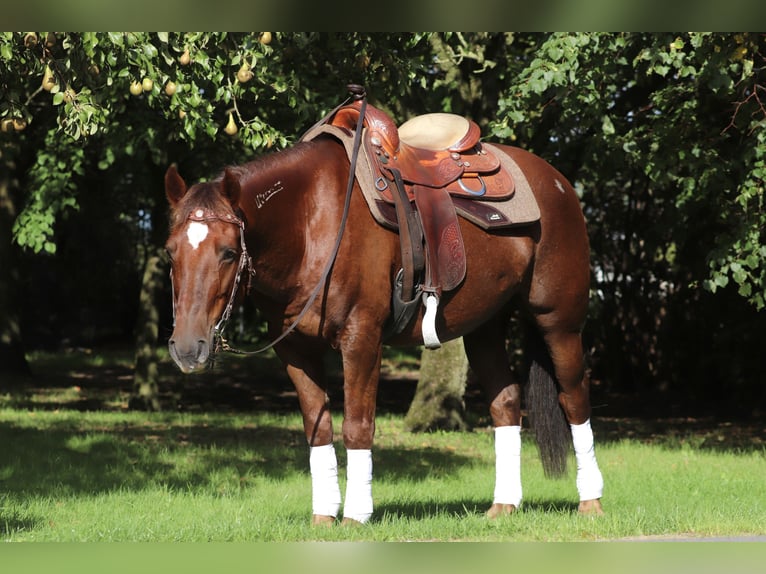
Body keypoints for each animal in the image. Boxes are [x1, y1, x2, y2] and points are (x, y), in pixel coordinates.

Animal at [163, 95, 604, 525]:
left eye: (228, 252)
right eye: (170, 252)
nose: (187, 348)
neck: (311, 221)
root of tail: (558, 182)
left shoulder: (361, 339)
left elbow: (357, 427)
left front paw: (356, 515)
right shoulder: (295, 350)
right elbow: (318, 427)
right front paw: (324, 516)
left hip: (558, 321)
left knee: (574, 396)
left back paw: (590, 501)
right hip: (484, 326)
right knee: (506, 401)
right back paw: (504, 505)